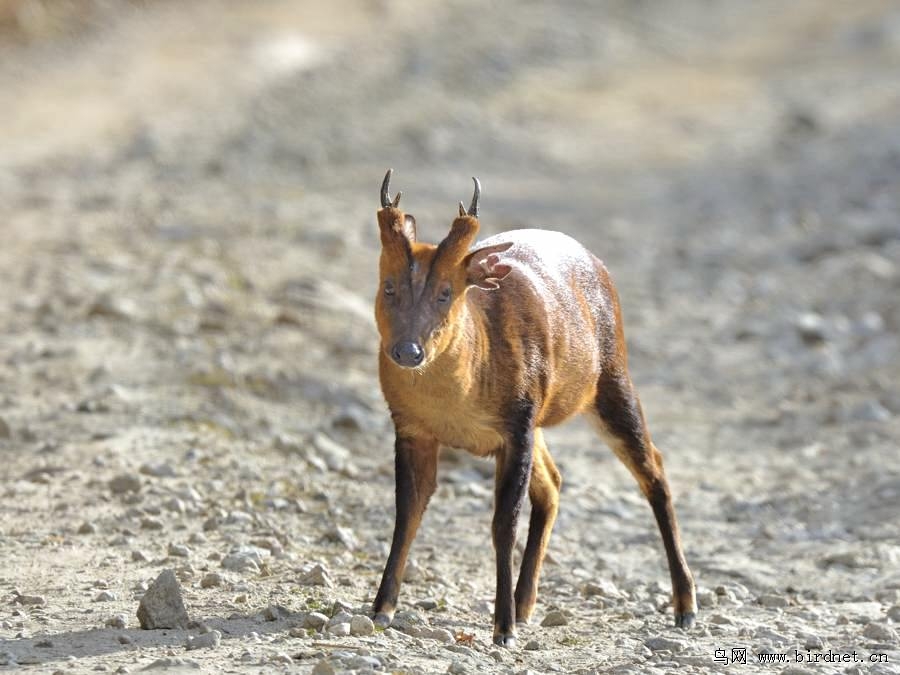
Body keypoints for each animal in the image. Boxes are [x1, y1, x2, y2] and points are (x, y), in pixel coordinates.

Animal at [372, 168, 696, 644]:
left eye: (446, 292)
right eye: (389, 286)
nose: (408, 351)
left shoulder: (516, 422)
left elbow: (503, 523)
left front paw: (502, 628)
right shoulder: (411, 426)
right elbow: (406, 512)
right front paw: (382, 609)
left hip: (611, 377)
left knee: (653, 469)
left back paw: (685, 605)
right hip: (546, 413)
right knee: (554, 483)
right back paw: (526, 603)